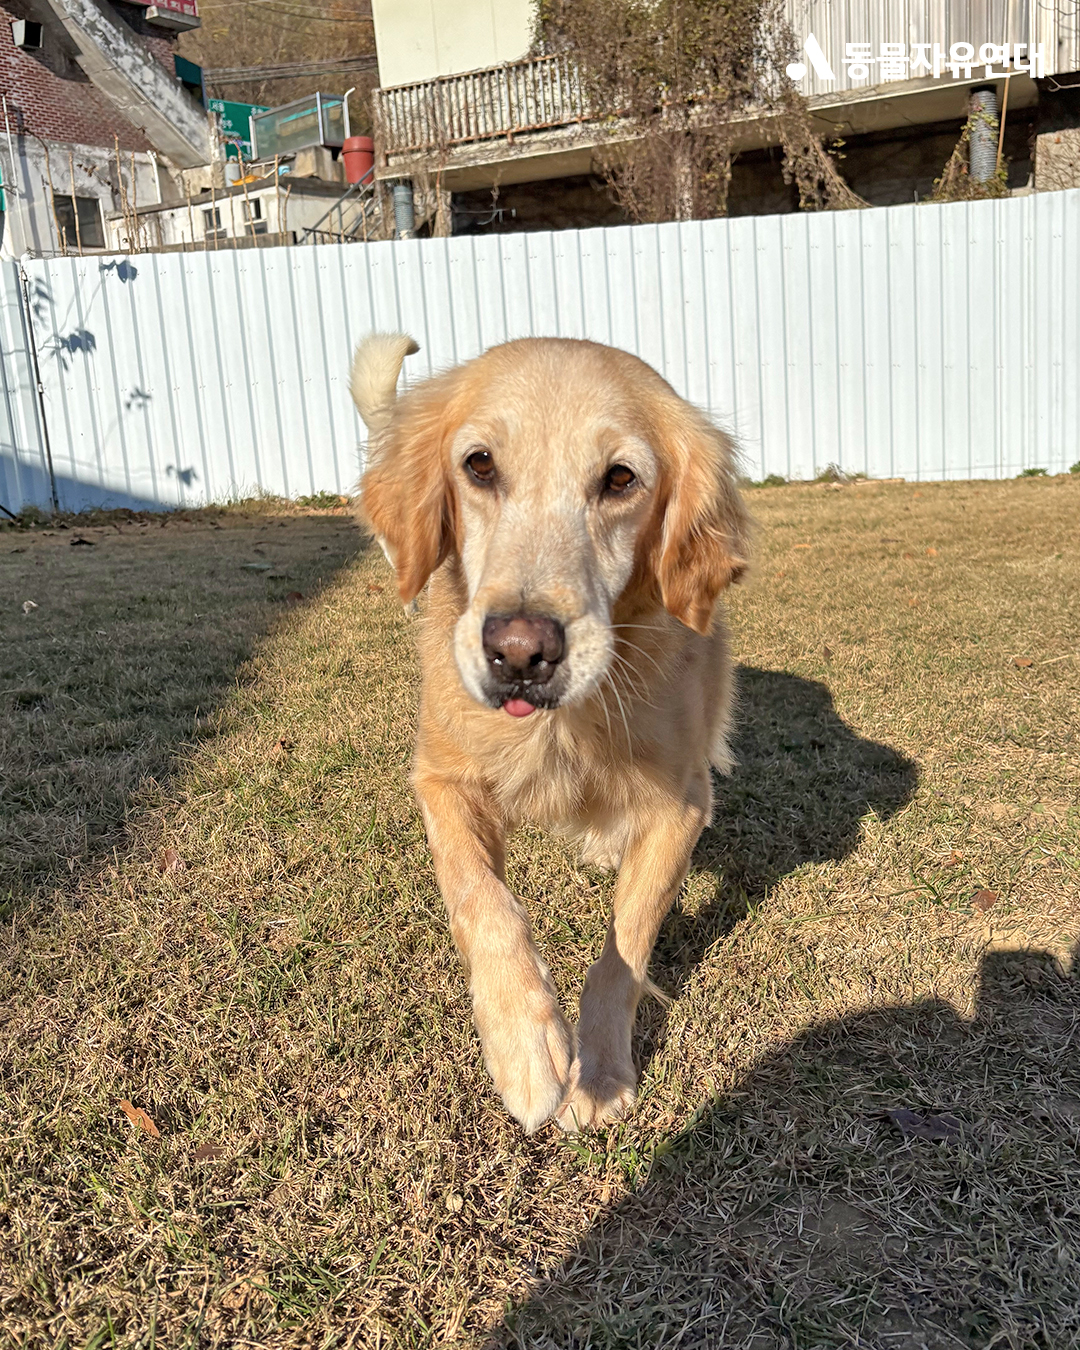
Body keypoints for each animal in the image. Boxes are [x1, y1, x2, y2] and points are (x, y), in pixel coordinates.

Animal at [352, 333, 749, 1133]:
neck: (564, 729)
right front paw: (526, 1040)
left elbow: (625, 946)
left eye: (621, 479)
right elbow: (480, 897)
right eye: (479, 465)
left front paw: (597, 1070)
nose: (519, 653)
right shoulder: (441, 778)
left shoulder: (680, 807)